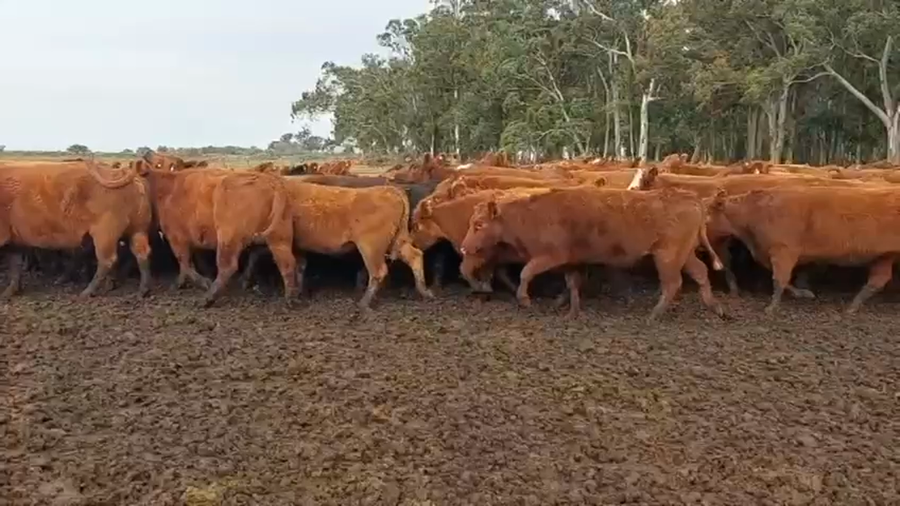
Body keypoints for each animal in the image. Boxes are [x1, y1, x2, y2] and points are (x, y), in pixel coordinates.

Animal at [0, 160, 153, 298]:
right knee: (141, 253)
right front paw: (10, 292)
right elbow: (15, 265)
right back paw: (142, 291)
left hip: (105, 233)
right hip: (138, 230)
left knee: (107, 260)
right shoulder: (14, 242)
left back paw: (86, 292)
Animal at [136, 162, 297, 307]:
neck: (165, 190)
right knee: (286, 263)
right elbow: (191, 263)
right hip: (279, 238)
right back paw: (290, 298)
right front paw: (181, 282)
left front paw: (203, 282)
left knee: (228, 266)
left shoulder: (177, 237)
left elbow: (185, 262)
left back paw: (208, 298)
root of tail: (271, 182)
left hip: (227, 237)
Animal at [457, 186, 725, 319]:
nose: (463, 247)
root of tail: (691, 199)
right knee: (701, 273)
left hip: (667, 257)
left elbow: (526, 272)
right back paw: (716, 308)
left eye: (479, 224)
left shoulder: (551, 256)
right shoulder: (571, 261)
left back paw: (654, 314)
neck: (530, 215)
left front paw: (524, 299)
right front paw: (570, 310)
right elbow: (573, 284)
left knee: (673, 283)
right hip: (684, 255)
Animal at [707, 186, 900, 315]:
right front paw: (804, 294)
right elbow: (783, 280)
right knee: (877, 281)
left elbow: (779, 279)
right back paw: (851, 307)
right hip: (884, 257)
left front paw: (771, 307)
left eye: (707, 213)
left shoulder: (783, 250)